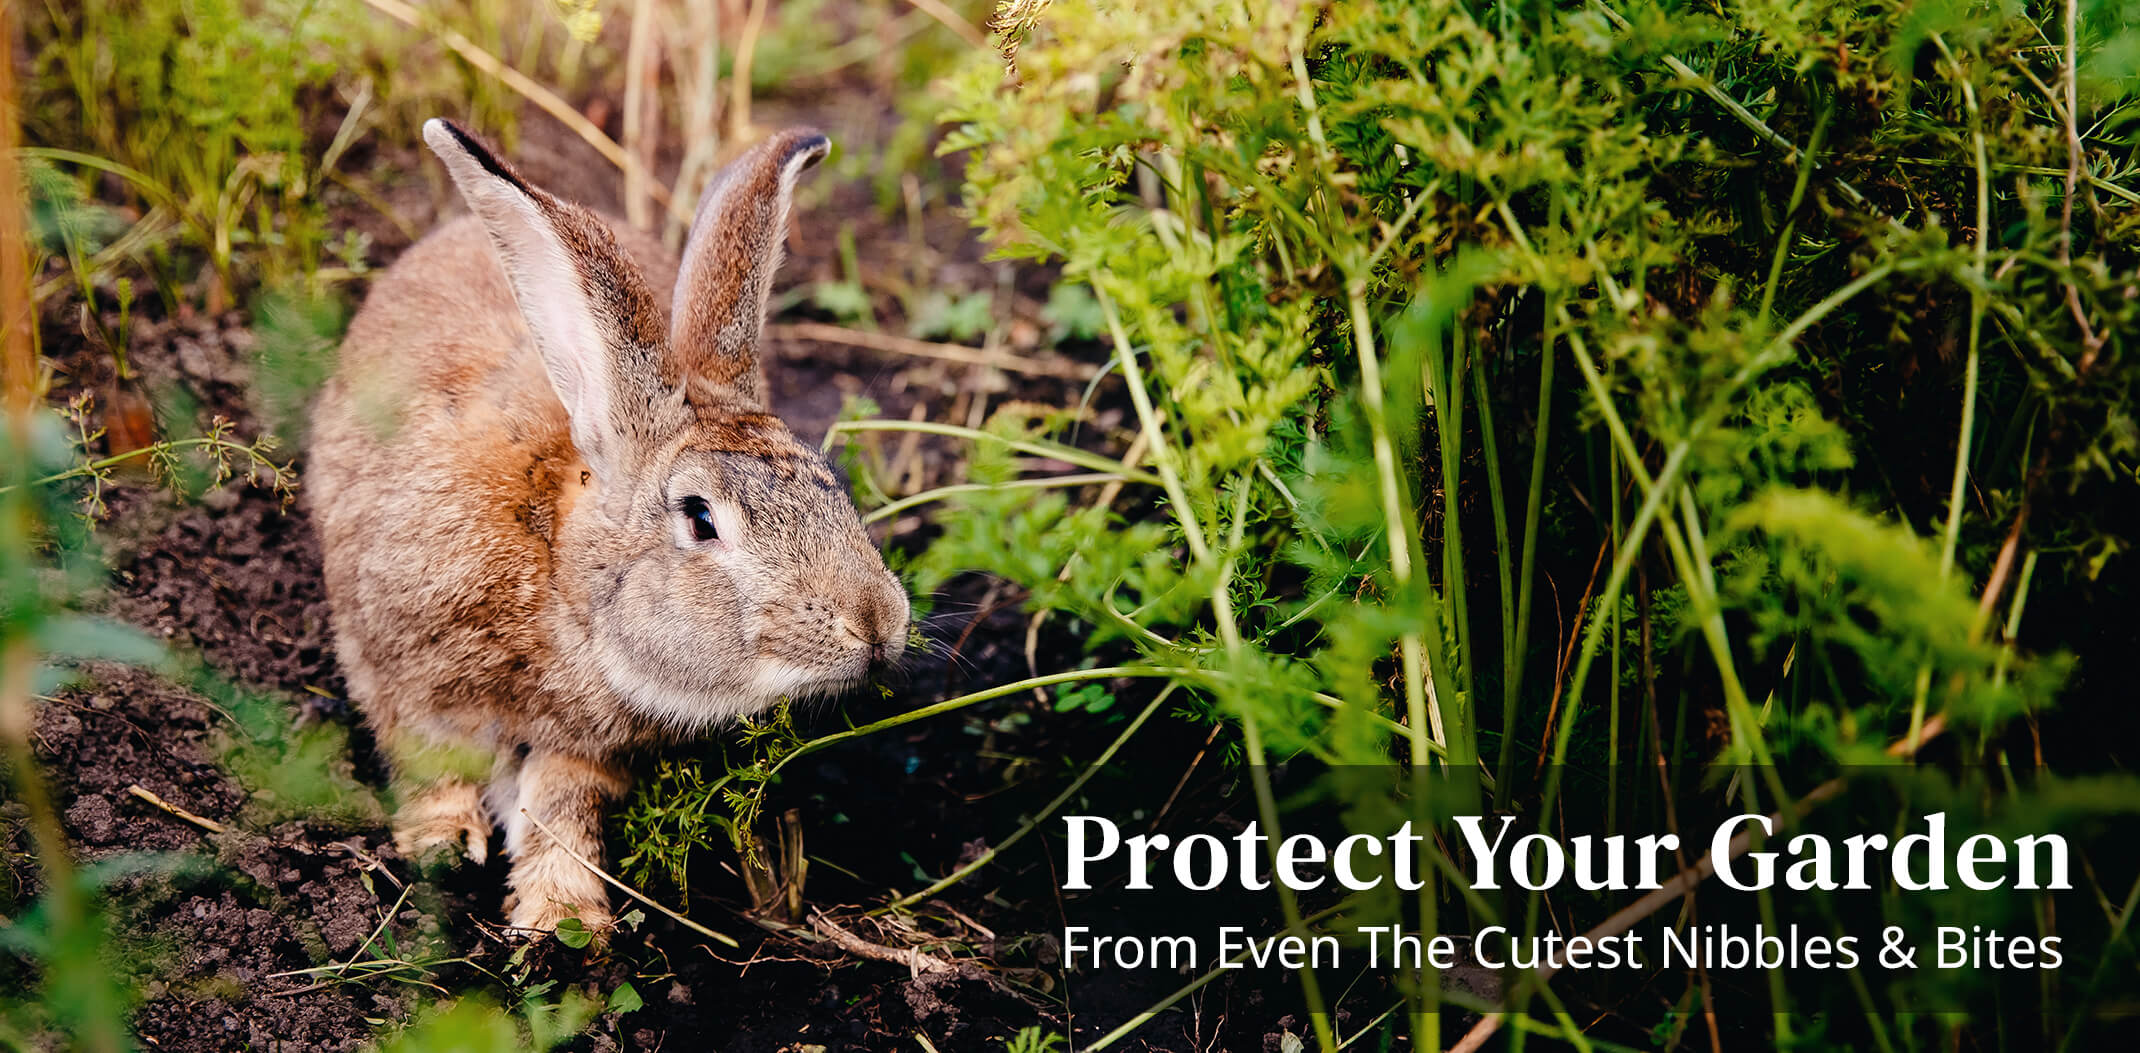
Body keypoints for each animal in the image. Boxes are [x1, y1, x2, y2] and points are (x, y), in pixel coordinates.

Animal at [306, 119, 907, 933]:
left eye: (831, 484)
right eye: (700, 518)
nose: (878, 624)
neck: (559, 571)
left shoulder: (585, 751)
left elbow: (561, 807)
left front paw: (563, 918)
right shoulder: (402, 674)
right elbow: (430, 764)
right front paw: (441, 846)